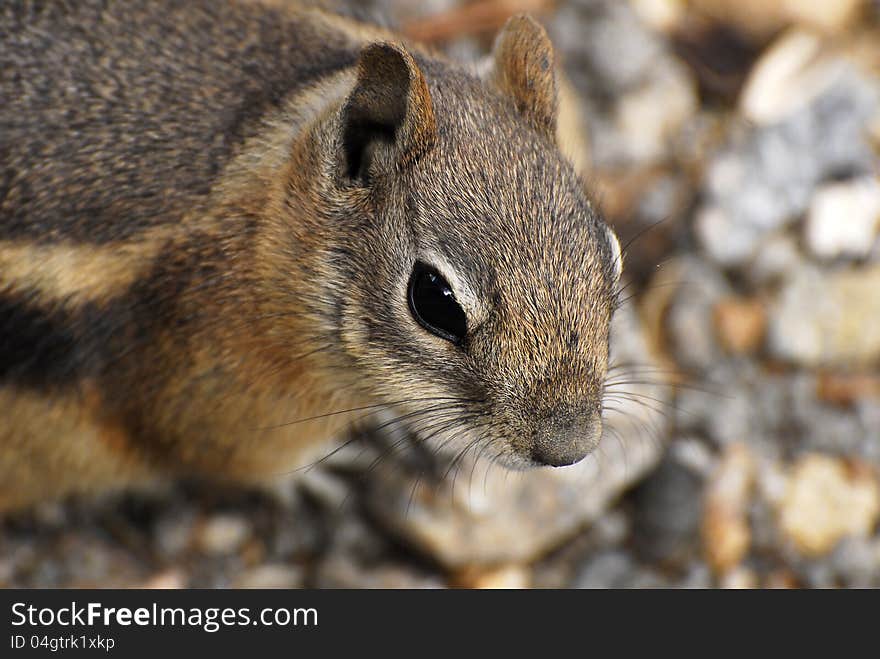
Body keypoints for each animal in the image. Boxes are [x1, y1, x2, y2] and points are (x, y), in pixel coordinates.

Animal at [0, 0, 624, 510]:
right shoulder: (211, 405)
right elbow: (237, 461)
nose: (568, 448)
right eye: (435, 301)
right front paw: (328, 469)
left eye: (610, 250)